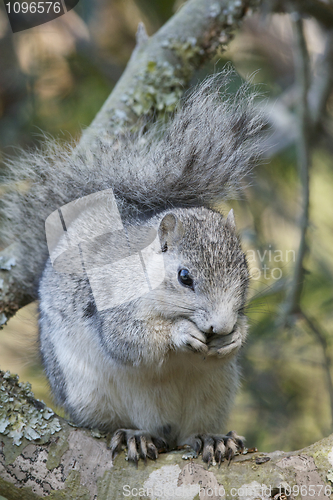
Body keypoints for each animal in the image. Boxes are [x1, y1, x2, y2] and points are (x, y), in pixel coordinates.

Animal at [0, 70, 264, 464]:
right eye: (184, 277)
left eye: (245, 274)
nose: (221, 326)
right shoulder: (112, 298)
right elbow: (129, 340)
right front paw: (180, 334)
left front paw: (237, 336)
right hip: (89, 393)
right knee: (115, 423)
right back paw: (133, 436)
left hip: (213, 395)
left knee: (191, 431)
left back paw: (211, 438)